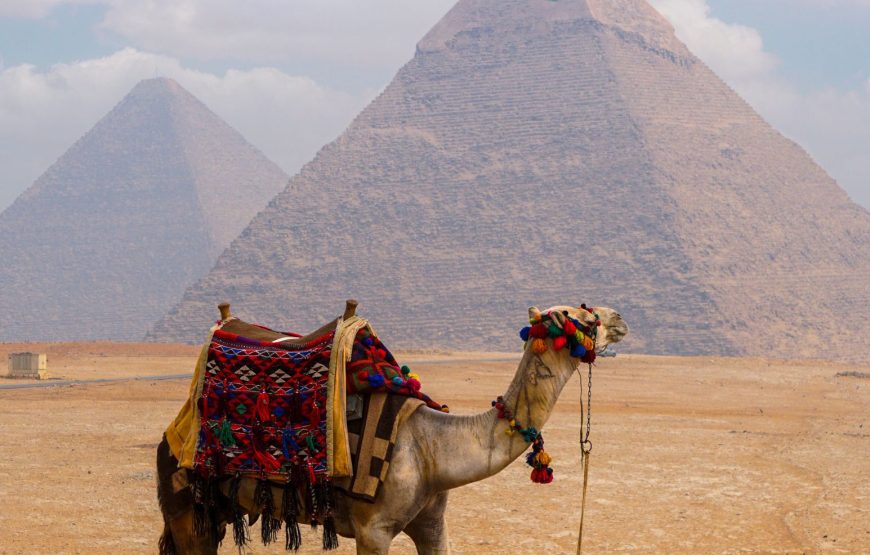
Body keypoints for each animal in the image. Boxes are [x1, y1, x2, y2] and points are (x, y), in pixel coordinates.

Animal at [156, 304, 628, 554]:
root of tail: (175, 430)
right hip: (184, 504)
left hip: (216, 508)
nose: (620, 318)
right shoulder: (374, 530)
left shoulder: (433, 524)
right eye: (579, 316)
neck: (435, 449)